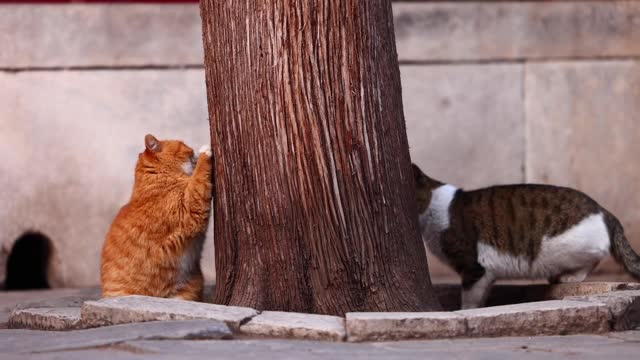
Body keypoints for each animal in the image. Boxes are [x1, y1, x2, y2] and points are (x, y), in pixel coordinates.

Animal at [101, 134, 212, 300]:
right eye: (183, 144)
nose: (193, 149)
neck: (158, 179)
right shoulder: (190, 210)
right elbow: (199, 177)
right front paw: (205, 152)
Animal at [412, 165, 640, 308]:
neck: (434, 206)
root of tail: (604, 211)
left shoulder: (474, 269)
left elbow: (470, 301)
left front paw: (466, 311)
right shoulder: (486, 274)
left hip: (564, 247)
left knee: (594, 259)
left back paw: (569, 276)